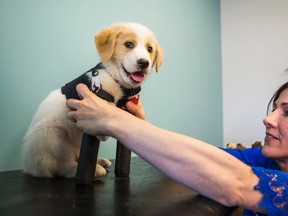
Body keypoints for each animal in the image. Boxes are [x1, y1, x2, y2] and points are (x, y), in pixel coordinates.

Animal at [23, 22, 162, 179]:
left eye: (150, 49)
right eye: (128, 44)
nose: (144, 63)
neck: (116, 80)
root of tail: (29, 167)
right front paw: (103, 129)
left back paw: (100, 161)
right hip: (54, 135)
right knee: (61, 167)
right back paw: (93, 170)